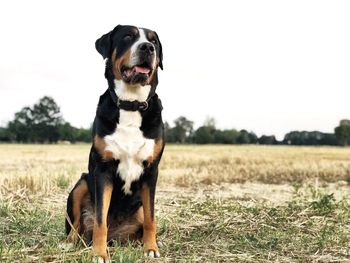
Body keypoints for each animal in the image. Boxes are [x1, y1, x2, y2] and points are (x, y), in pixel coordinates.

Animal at [64, 24, 164, 262]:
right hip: (82, 183)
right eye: (128, 37)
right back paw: (70, 243)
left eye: (154, 42)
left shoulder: (151, 171)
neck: (131, 104)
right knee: (77, 224)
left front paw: (151, 248)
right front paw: (99, 254)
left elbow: (151, 218)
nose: (147, 48)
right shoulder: (102, 170)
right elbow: (100, 221)